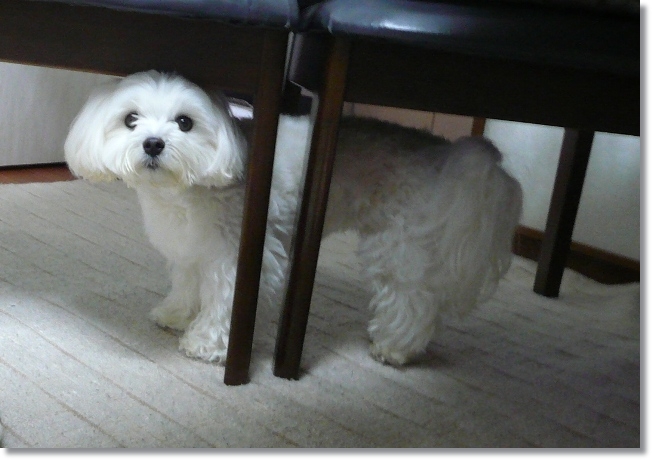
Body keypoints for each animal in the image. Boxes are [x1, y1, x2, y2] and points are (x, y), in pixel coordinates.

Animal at [64, 70, 522, 366]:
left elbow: (224, 302)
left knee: (412, 299)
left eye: (185, 122)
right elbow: (187, 285)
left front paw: (206, 344)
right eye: (130, 119)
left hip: (398, 243)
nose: (154, 143)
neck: (187, 189)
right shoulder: (192, 248)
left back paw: (395, 347)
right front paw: (176, 315)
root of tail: (443, 152)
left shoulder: (236, 253)